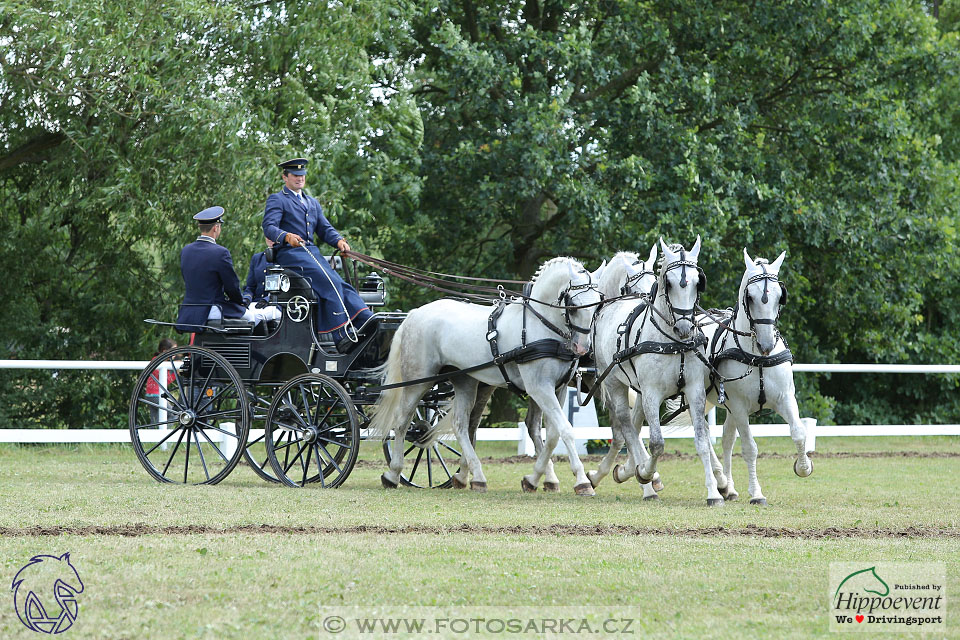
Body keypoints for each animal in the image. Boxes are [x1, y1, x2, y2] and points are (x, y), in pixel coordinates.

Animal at [366, 256, 600, 496]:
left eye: (598, 303)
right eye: (573, 304)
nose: (583, 348)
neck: (540, 326)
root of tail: (414, 314)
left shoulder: (557, 389)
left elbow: (553, 435)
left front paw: (535, 479)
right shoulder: (539, 388)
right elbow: (566, 430)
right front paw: (582, 481)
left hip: (465, 382)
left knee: (460, 424)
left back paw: (475, 477)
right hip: (418, 381)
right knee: (402, 422)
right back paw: (393, 473)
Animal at [592, 236, 728, 504]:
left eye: (697, 282)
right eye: (669, 282)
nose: (685, 328)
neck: (673, 342)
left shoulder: (694, 391)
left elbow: (702, 440)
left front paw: (713, 492)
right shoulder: (651, 393)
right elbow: (656, 443)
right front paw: (644, 473)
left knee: (633, 425)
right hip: (615, 382)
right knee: (626, 426)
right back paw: (644, 483)